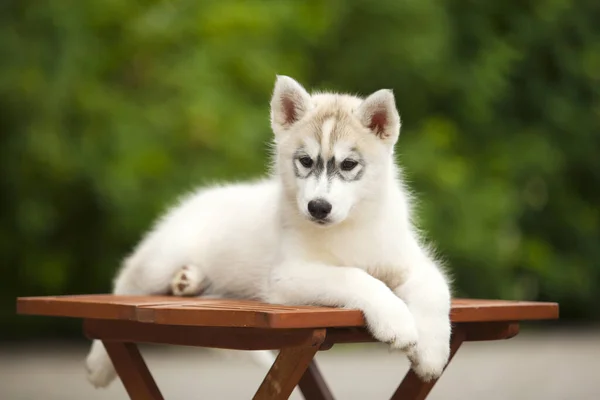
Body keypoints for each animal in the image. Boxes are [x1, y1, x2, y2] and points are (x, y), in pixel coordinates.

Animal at [84, 75, 450, 388]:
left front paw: (432, 355)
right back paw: (100, 364)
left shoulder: (411, 262)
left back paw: (189, 281)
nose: (318, 207)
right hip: (159, 260)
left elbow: (436, 290)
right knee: (124, 288)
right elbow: (355, 277)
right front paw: (396, 320)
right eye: (306, 161)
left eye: (348, 164)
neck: (350, 225)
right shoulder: (287, 275)